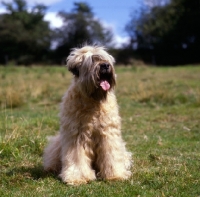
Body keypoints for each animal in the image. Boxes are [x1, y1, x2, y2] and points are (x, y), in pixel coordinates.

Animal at [43, 45, 132, 185]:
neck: (93, 101)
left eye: (105, 59)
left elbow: (111, 155)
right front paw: (78, 177)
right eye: (92, 60)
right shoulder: (77, 136)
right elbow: (77, 158)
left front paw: (115, 175)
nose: (105, 65)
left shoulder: (108, 134)